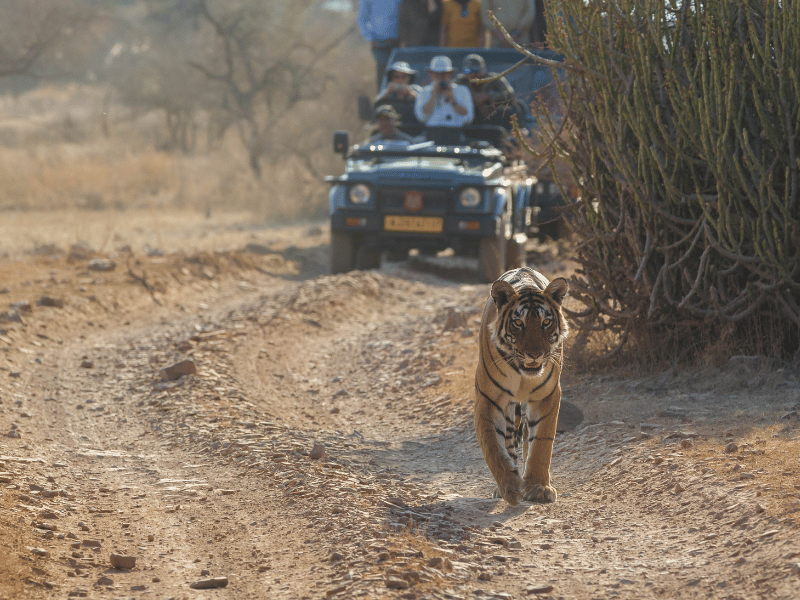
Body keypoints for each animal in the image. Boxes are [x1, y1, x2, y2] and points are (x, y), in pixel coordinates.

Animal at [474, 266, 569, 505]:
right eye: (518, 323)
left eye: (546, 322)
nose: (535, 354)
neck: (522, 374)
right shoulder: (489, 399)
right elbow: (493, 445)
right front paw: (510, 486)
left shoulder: (547, 396)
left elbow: (541, 444)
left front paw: (537, 487)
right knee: (509, 441)